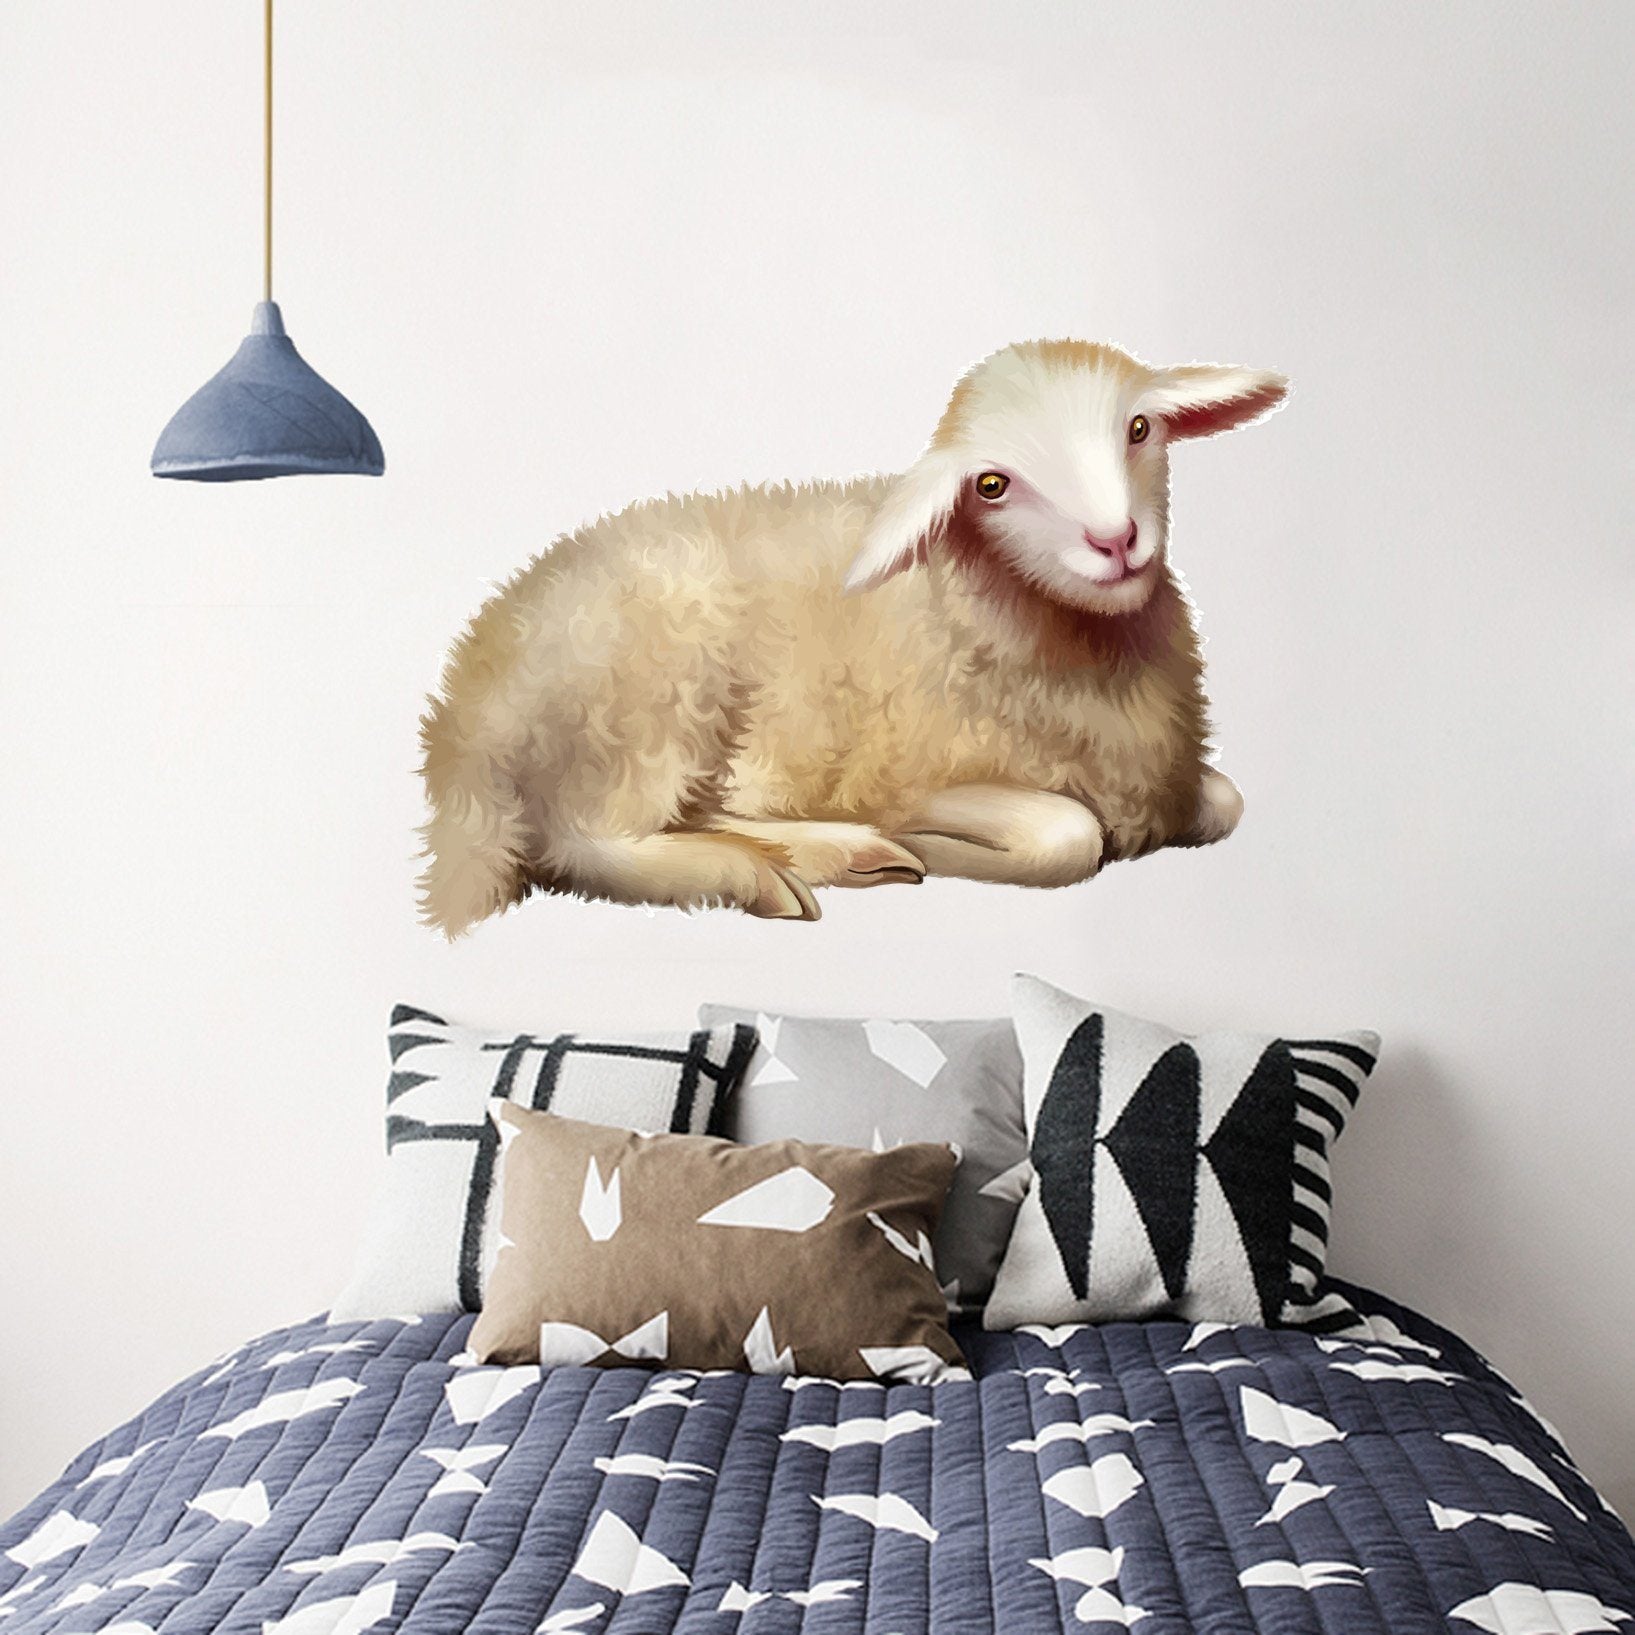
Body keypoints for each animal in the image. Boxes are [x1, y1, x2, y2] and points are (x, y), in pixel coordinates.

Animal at [417, 339, 1288, 933]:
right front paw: (935, 844)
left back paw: (828, 852)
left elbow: (1224, 801)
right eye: (991, 484)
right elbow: (1066, 835)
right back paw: (774, 866)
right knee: (585, 843)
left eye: (1138, 427)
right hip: (648, 696)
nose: (1116, 540)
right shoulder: (918, 776)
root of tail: (464, 722)